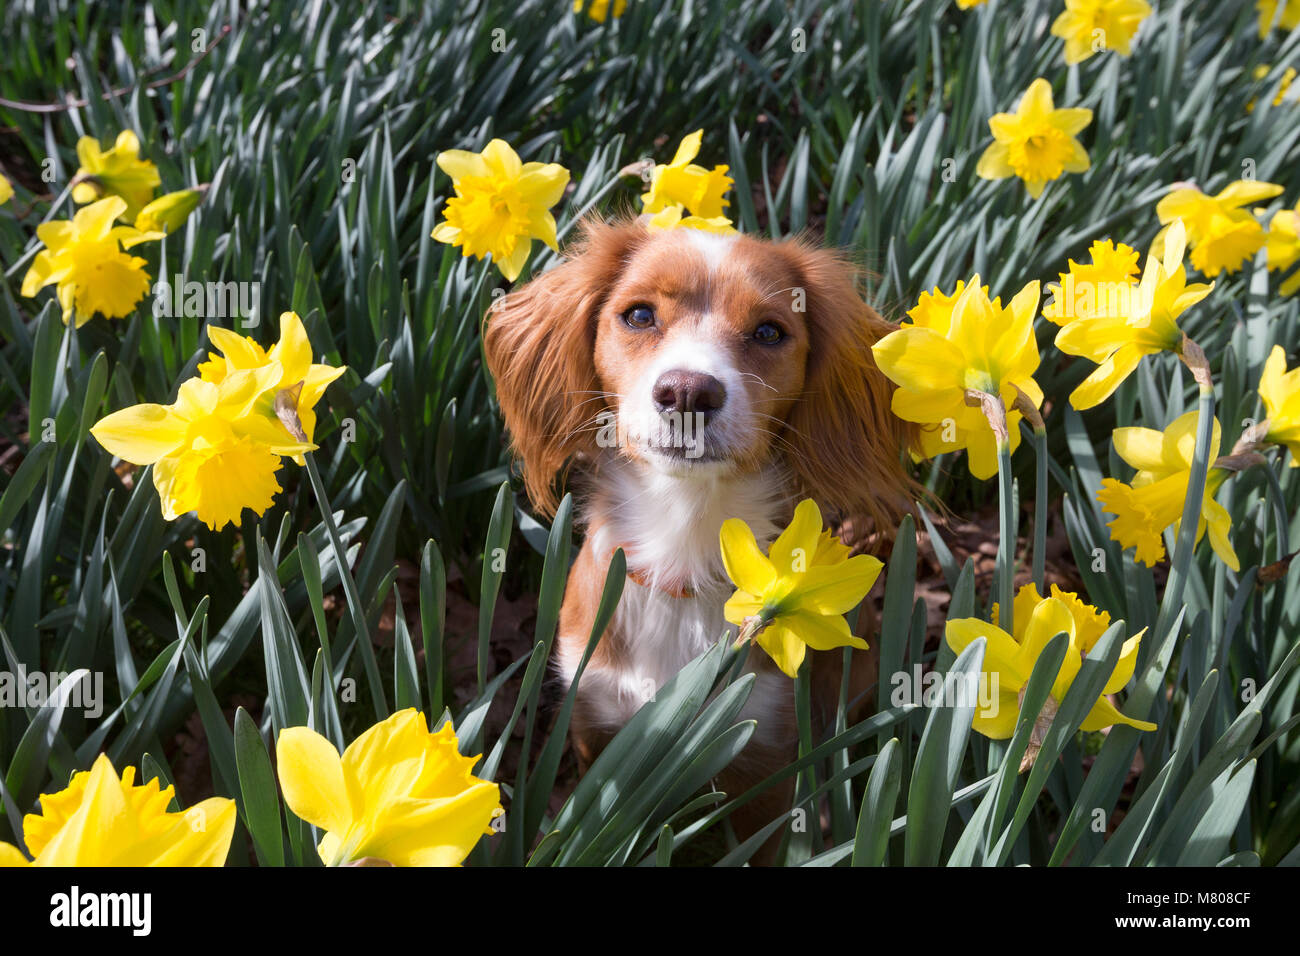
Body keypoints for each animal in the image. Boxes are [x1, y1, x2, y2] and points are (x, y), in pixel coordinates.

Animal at [483, 221, 920, 832]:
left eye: (769, 331)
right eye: (639, 316)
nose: (688, 391)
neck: (684, 541)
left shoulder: (763, 758)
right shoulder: (596, 722)